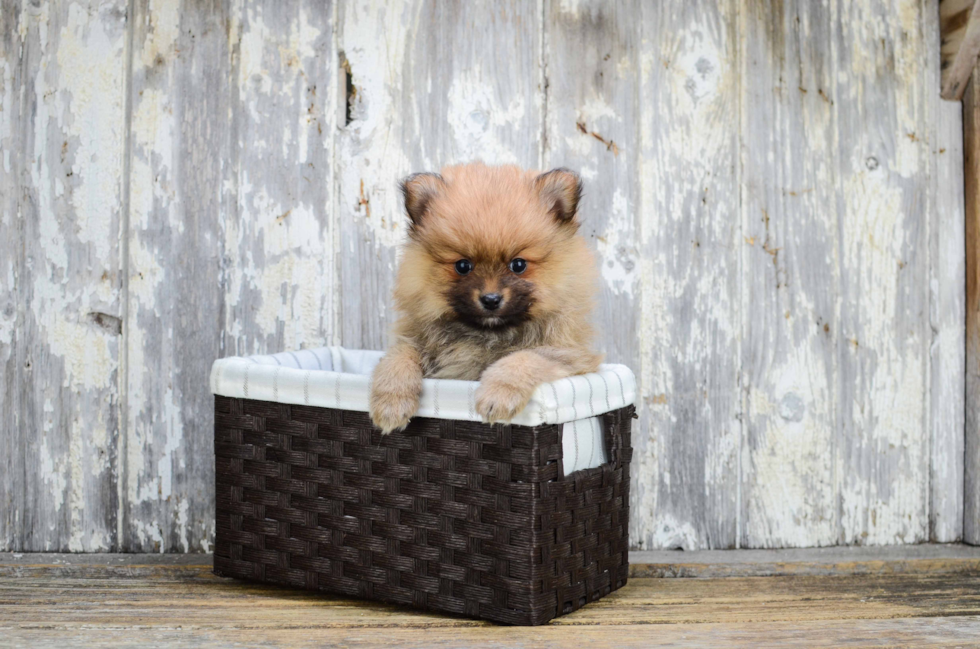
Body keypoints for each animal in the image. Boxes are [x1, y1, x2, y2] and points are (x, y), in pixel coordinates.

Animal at [368, 162, 600, 436]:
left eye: (518, 265)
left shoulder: (570, 355)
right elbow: (398, 356)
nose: (490, 299)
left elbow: (524, 358)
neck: (488, 335)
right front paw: (391, 402)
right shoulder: (416, 342)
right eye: (463, 266)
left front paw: (498, 396)